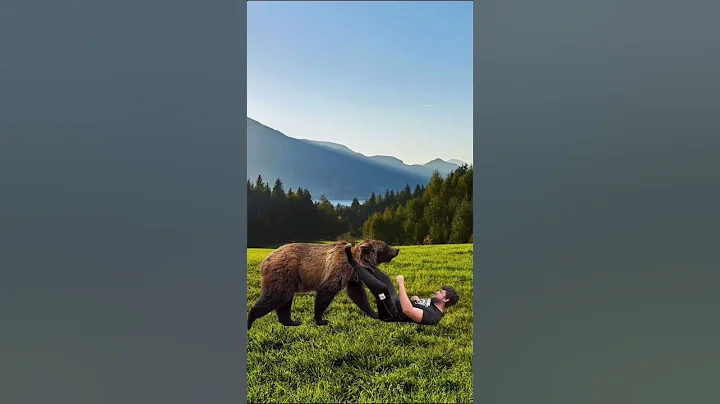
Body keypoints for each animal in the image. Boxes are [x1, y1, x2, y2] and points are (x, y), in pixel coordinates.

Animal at [247, 239, 400, 329]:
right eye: (386, 246)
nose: (397, 250)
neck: (354, 263)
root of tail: (265, 261)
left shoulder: (352, 278)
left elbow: (358, 295)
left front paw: (374, 313)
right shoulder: (338, 271)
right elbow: (325, 292)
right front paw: (321, 320)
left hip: (289, 280)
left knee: (285, 301)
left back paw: (292, 321)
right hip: (284, 274)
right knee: (275, 296)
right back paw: (250, 320)